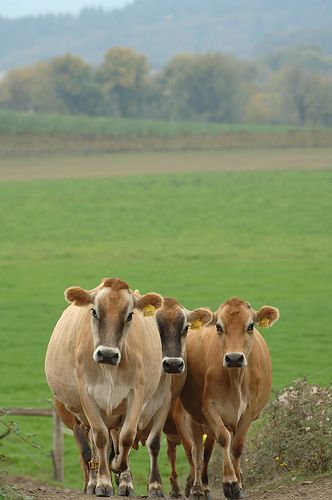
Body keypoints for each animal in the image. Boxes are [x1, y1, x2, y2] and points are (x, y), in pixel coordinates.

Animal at [179, 296, 280, 500]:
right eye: (219, 326)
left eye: (250, 326)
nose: (234, 358)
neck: (235, 379)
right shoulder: (208, 407)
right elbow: (223, 438)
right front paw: (230, 482)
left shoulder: (249, 410)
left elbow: (237, 446)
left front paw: (238, 485)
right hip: (195, 417)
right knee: (198, 450)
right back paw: (197, 489)